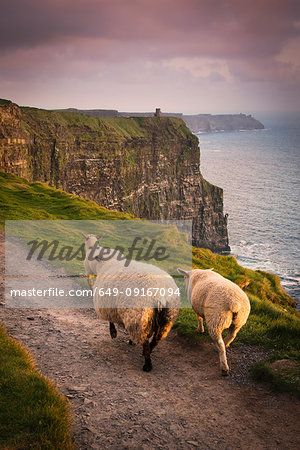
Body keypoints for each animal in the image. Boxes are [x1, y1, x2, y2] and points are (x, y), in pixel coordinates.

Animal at [82, 234, 179, 370]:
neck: (106, 264)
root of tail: (161, 296)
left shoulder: (109, 303)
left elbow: (111, 321)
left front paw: (113, 333)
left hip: (140, 317)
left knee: (145, 341)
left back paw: (147, 364)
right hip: (167, 318)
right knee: (156, 340)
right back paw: (145, 351)